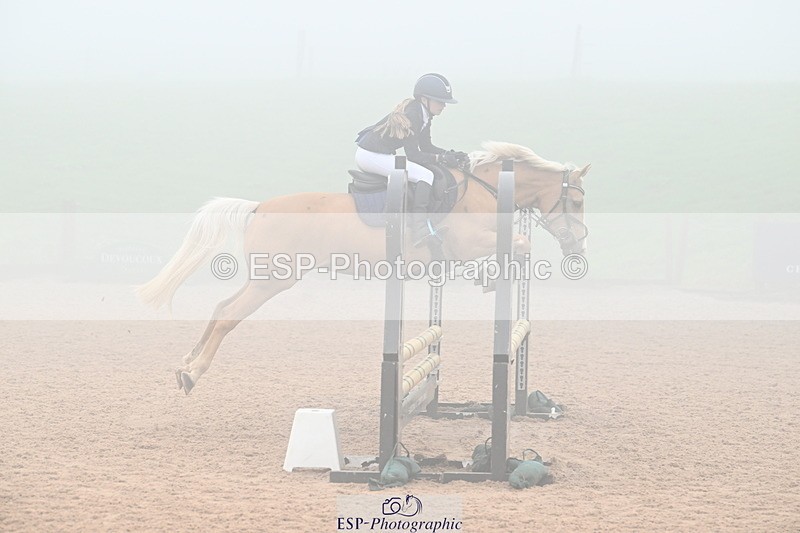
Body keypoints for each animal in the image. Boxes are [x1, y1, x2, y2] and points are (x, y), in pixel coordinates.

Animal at [138, 141, 591, 394]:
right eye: (577, 201)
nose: (578, 248)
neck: (486, 189)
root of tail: (259, 206)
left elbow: (519, 247)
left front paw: (490, 278)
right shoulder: (467, 243)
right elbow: (521, 244)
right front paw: (489, 279)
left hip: (265, 278)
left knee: (219, 308)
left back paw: (185, 364)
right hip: (274, 280)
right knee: (228, 315)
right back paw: (193, 373)